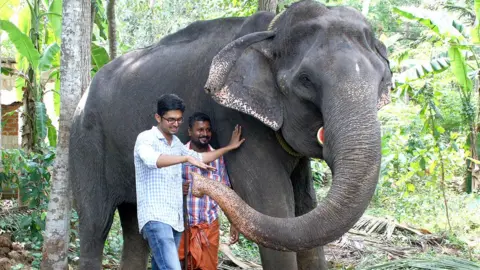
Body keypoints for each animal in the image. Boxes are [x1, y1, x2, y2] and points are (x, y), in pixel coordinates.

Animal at [69, 1, 392, 268]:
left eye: (382, 80)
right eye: (305, 80)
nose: (197, 184)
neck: (272, 30)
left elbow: (305, 207)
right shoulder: (235, 119)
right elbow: (273, 208)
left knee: (135, 225)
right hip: (86, 142)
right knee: (95, 225)